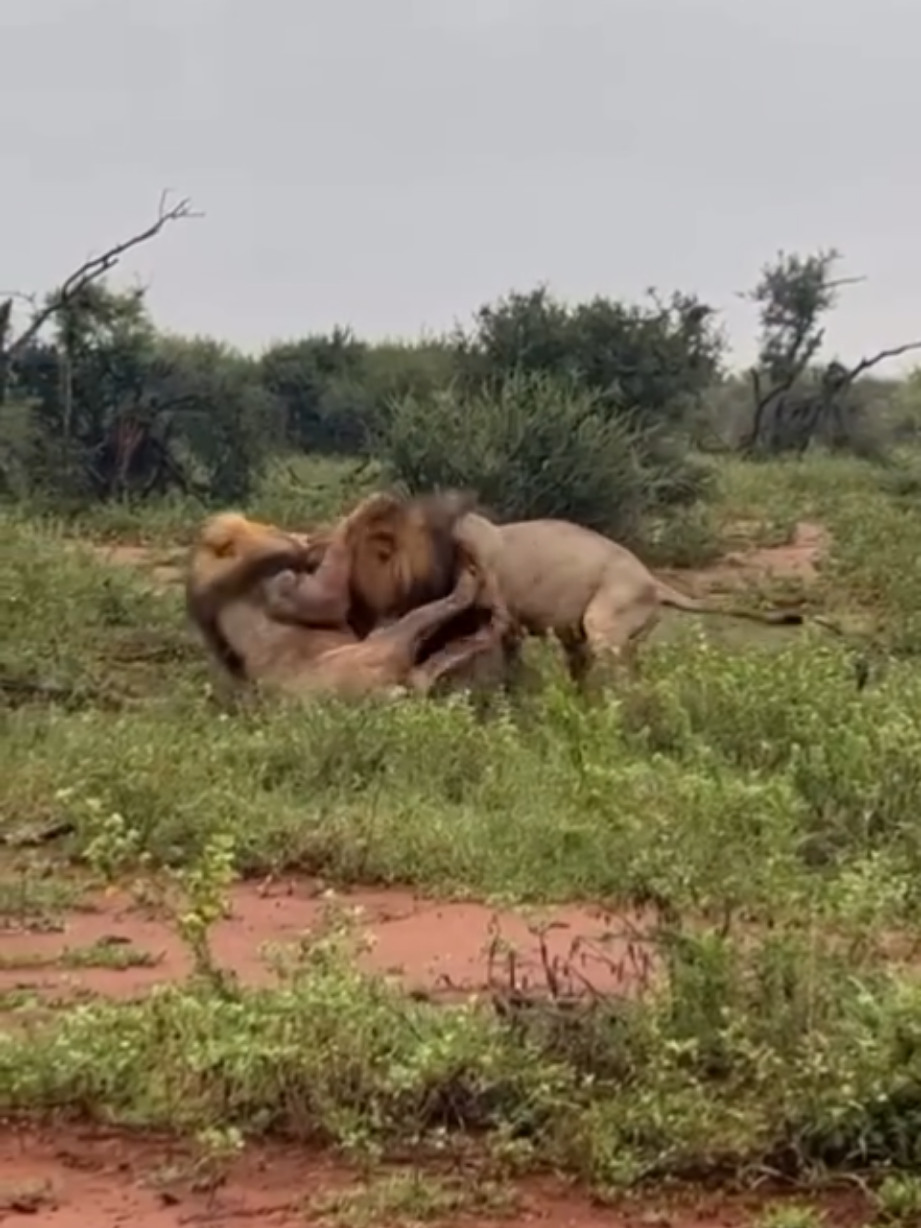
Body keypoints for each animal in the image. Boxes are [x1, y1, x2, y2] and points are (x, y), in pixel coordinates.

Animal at [184, 505, 509, 701]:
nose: (303, 536)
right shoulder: (285, 587)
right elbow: (330, 595)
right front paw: (371, 506)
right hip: (383, 646)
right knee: (433, 620)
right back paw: (472, 581)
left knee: (429, 663)